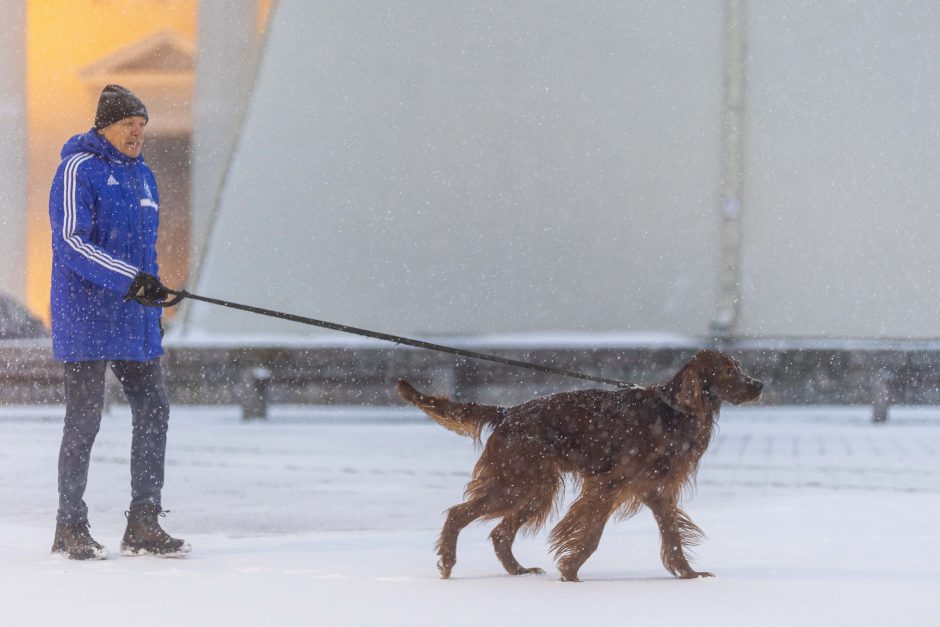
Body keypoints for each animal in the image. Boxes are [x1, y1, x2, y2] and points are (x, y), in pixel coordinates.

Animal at [396, 350, 764, 580]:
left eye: (738, 366)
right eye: (728, 370)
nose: (759, 384)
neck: (673, 411)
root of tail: (507, 413)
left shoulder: (656, 490)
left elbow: (672, 536)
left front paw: (690, 575)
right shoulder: (610, 483)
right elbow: (592, 534)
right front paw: (571, 573)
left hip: (536, 489)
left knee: (500, 532)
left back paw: (518, 571)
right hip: (514, 483)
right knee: (458, 513)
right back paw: (447, 561)